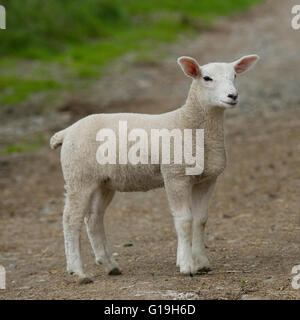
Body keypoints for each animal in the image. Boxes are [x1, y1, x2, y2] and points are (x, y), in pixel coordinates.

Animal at [50, 54, 258, 282]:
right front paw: (187, 265)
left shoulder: (207, 179)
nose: (233, 96)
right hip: (78, 176)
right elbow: (184, 220)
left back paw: (110, 265)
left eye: (235, 76)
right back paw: (78, 271)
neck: (188, 123)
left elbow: (200, 219)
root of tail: (67, 131)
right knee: (71, 220)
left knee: (94, 219)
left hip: (104, 181)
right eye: (207, 78)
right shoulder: (175, 175)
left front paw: (201, 262)